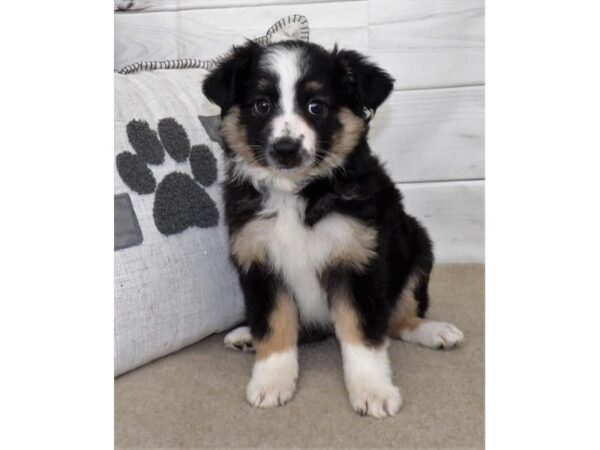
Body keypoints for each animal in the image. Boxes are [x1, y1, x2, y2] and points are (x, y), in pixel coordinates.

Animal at [203, 41, 464, 418]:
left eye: (316, 106)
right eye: (262, 105)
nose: (286, 149)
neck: (296, 192)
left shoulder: (359, 262)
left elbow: (363, 335)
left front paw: (372, 391)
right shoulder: (259, 262)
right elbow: (273, 326)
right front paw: (271, 382)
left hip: (417, 246)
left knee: (400, 320)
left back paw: (436, 332)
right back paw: (246, 335)